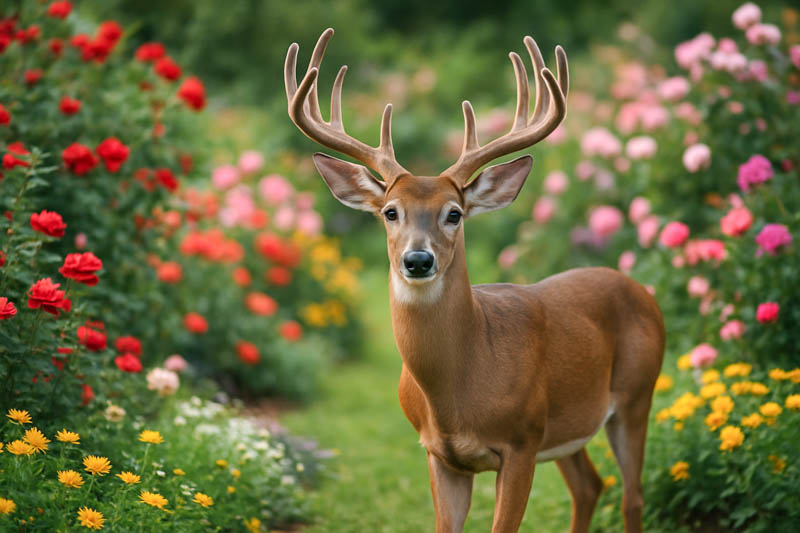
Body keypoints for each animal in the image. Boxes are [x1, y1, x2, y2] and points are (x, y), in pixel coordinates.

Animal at [284, 28, 665, 533]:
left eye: (454, 213)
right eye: (390, 212)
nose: (418, 260)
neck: (458, 393)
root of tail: (643, 291)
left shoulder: (522, 441)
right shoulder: (438, 454)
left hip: (637, 394)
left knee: (631, 496)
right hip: (569, 425)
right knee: (590, 486)